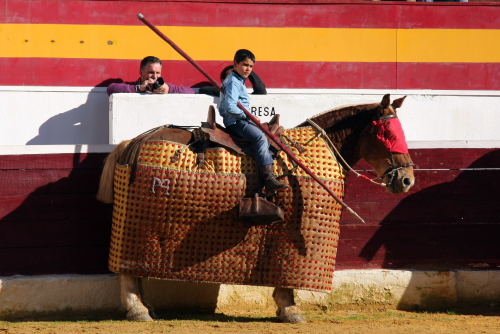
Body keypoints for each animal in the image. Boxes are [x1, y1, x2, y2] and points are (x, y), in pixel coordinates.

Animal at [96, 92, 414, 322]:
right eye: (387, 133)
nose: (407, 179)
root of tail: (133, 142)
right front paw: (290, 309)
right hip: (138, 228)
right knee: (128, 272)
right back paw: (138, 310)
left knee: (135, 269)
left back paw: (147, 306)